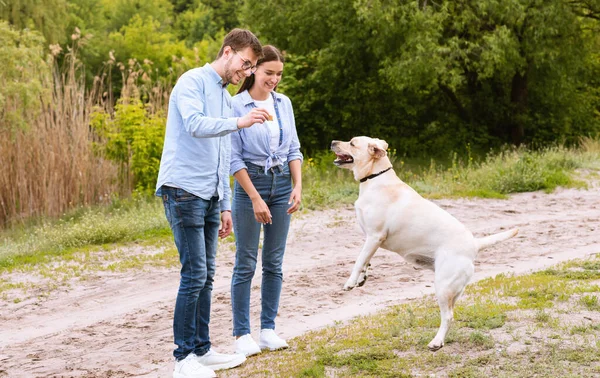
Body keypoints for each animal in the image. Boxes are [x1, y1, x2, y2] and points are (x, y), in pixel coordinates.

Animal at [330, 137, 516, 352]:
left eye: (352, 143)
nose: (333, 141)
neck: (375, 178)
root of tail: (474, 245)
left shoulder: (374, 236)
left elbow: (359, 260)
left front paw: (350, 282)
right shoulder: (371, 239)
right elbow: (366, 261)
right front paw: (362, 279)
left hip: (442, 286)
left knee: (448, 316)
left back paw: (436, 342)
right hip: (454, 290)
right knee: (451, 313)